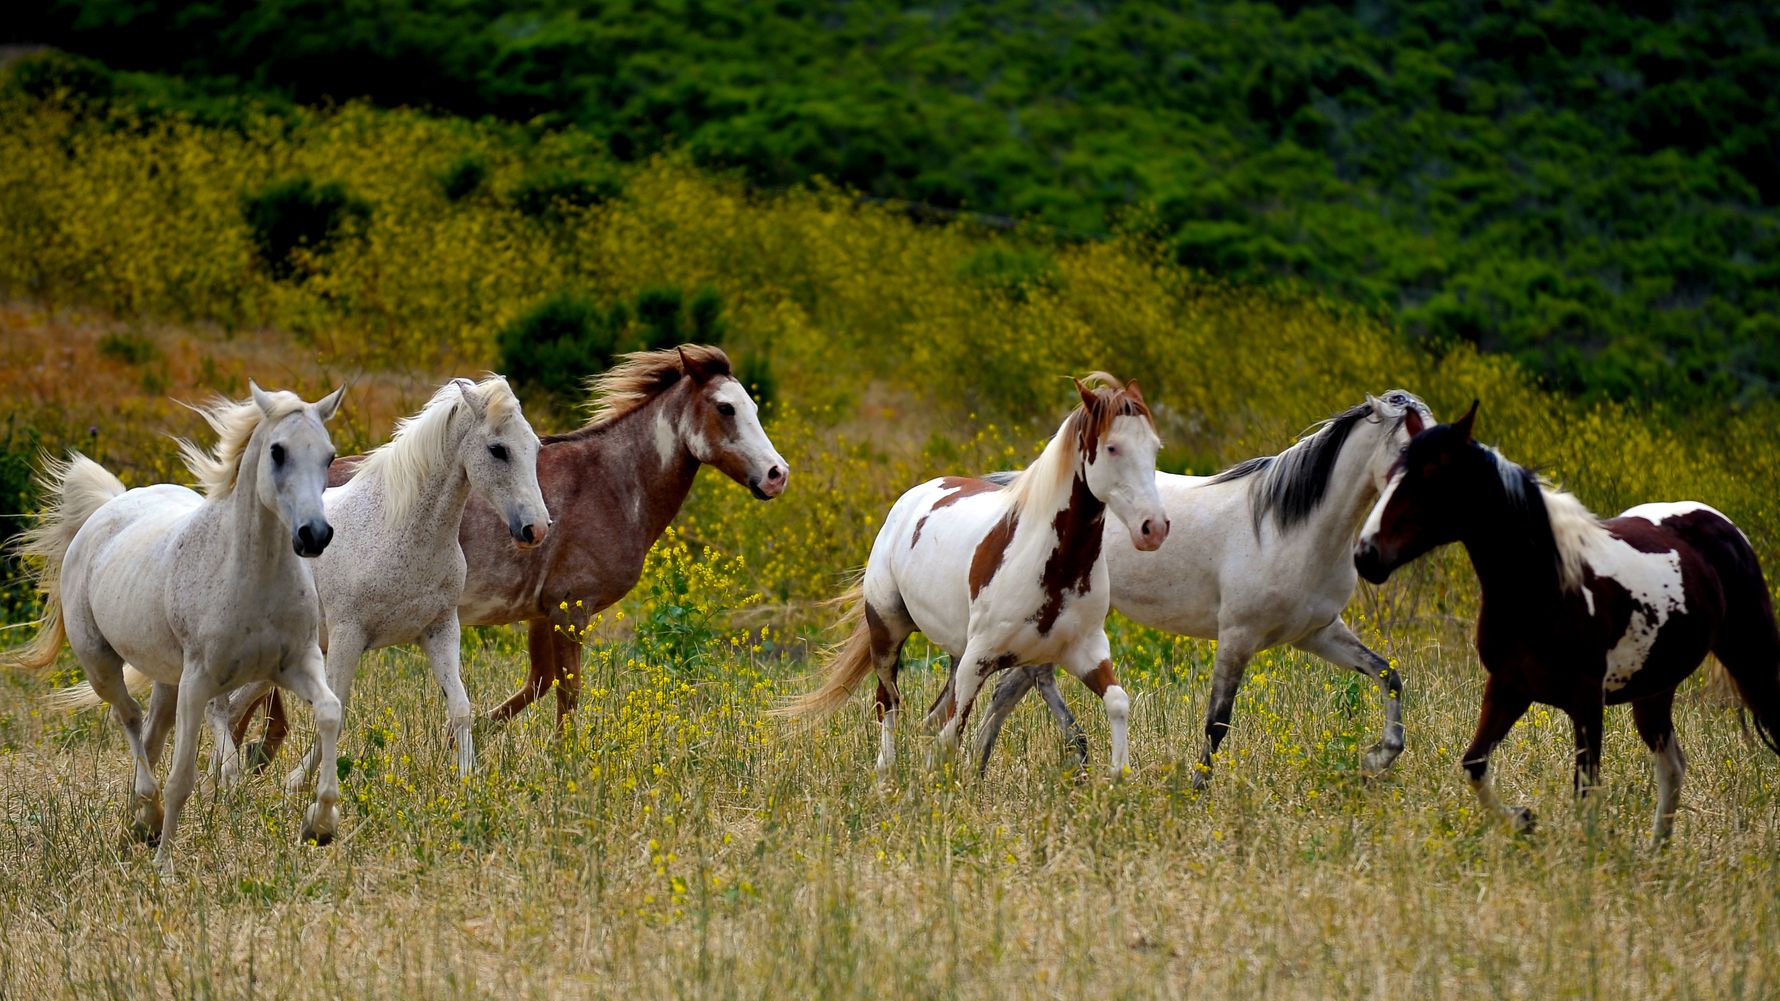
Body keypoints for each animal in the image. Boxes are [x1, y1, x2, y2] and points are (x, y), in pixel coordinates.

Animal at [3, 383, 345, 875]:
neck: (251, 576)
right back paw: (147, 818)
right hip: (101, 664)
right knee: (129, 719)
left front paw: (320, 825)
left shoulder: (296, 663)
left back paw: (138, 827)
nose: (314, 535)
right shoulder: (198, 681)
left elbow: (331, 711)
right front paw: (165, 867)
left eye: (329, 455)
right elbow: (182, 775)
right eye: (277, 451)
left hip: (167, 681)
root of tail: (110, 506)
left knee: (150, 736)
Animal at [228, 344, 788, 759]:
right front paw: (563, 758)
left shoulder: (543, 613)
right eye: (725, 408)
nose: (776, 475)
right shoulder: (571, 609)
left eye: (754, 407)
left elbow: (537, 685)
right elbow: (566, 691)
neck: (610, 483)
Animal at [780, 375, 1169, 779]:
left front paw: (1117, 778)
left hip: (954, 653)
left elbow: (1117, 701)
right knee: (889, 701)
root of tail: (913, 495)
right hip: (887, 629)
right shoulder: (978, 661)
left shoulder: (1085, 651)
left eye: (1154, 448)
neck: (1052, 566)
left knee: (930, 718)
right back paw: (885, 772)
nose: (1153, 528)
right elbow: (951, 737)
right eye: (1112, 448)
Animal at [953, 391, 1434, 782]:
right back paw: (1067, 751)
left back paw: (983, 766)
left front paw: (1378, 759)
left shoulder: (1317, 632)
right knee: (1025, 680)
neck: (1287, 528)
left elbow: (1388, 675)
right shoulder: (1238, 635)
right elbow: (1217, 720)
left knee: (1011, 686)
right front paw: (1196, 791)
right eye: (1407, 447)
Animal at [1354, 402, 1780, 843]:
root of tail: (1723, 525)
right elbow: (1474, 763)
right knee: (1673, 767)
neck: (1545, 588)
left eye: (1431, 475)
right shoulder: (1508, 688)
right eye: (1390, 475)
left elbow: (1585, 791)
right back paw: (1655, 850)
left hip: (1754, 664)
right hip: (1655, 689)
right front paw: (1523, 819)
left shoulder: (1586, 700)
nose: (1366, 556)